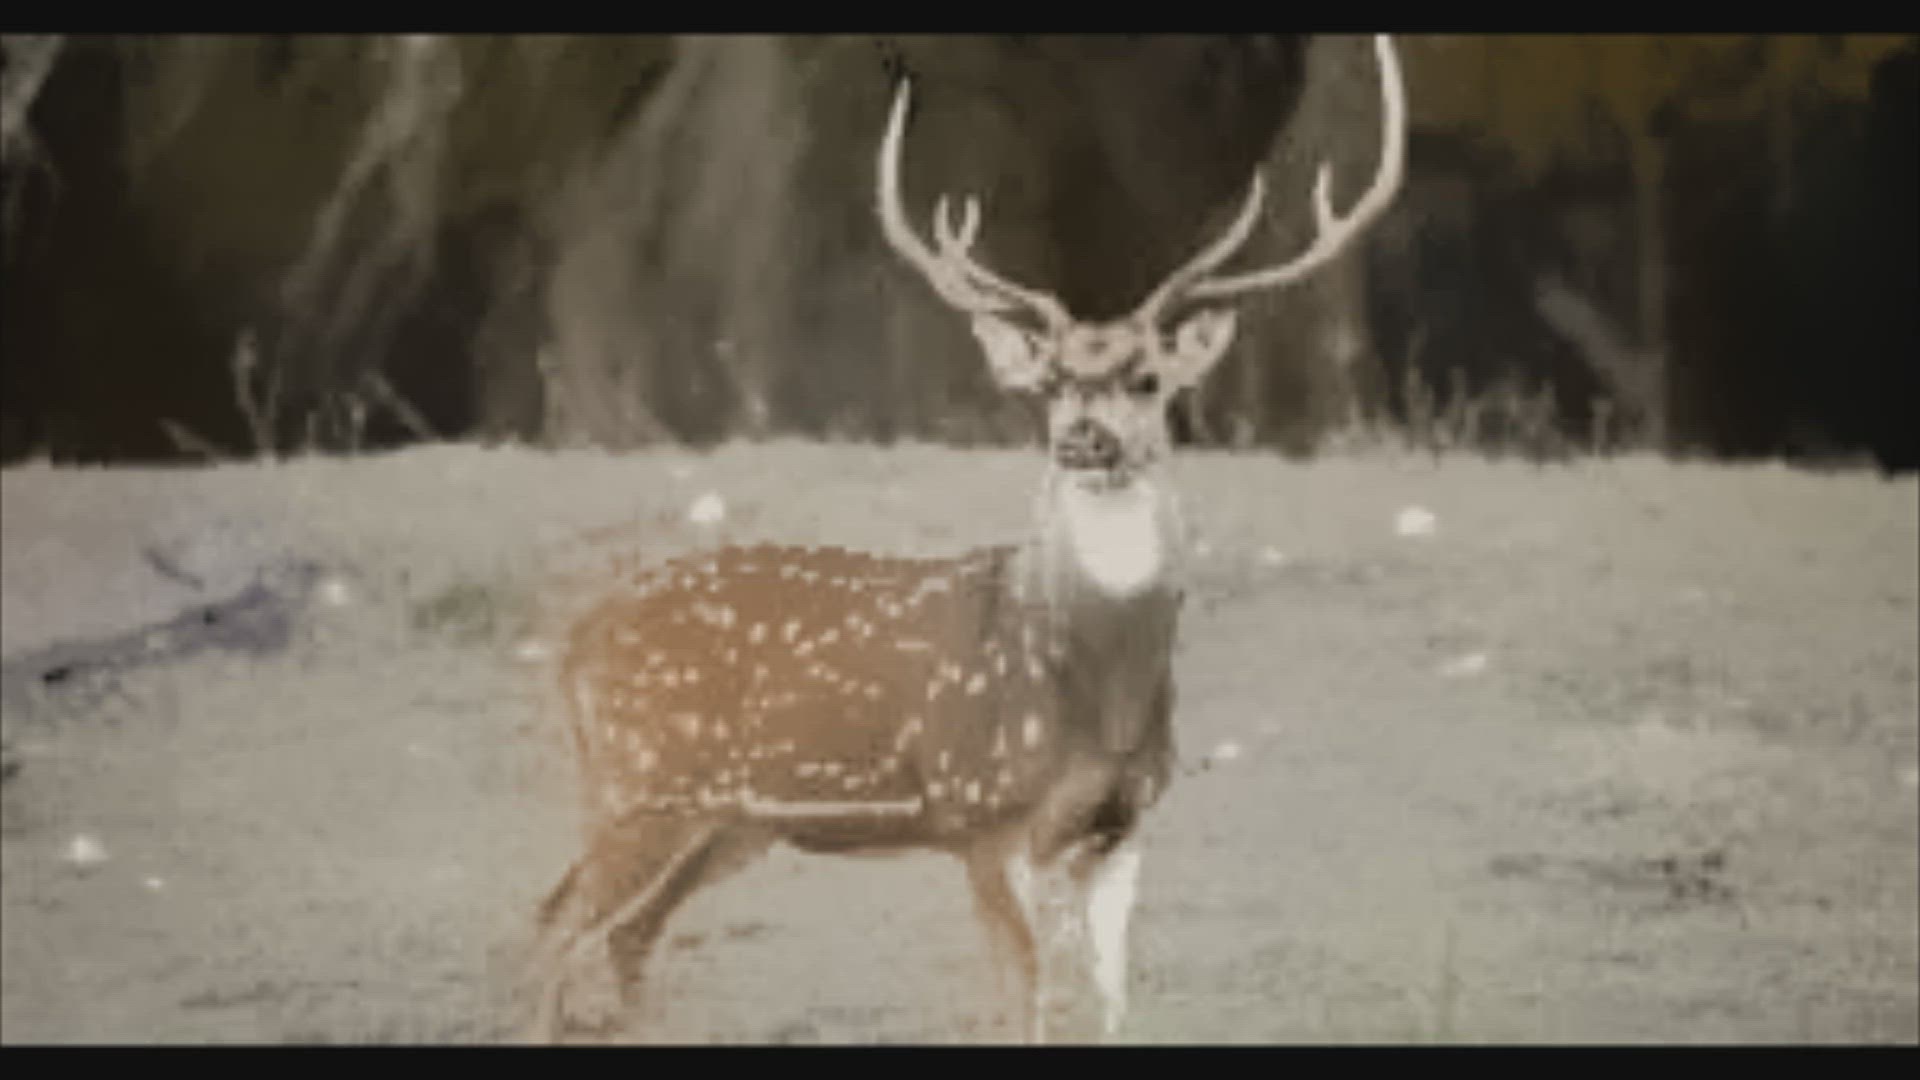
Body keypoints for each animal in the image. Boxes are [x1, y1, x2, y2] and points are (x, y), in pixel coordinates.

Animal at [530, 33, 1405, 1044]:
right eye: (1053, 380)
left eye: (1147, 379)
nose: (1083, 438)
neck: (1096, 693)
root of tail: (575, 643)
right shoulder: (983, 813)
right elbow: (1020, 996)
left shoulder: (1120, 825)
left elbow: (1108, 999)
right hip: (643, 781)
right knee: (555, 921)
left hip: (729, 820)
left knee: (627, 935)